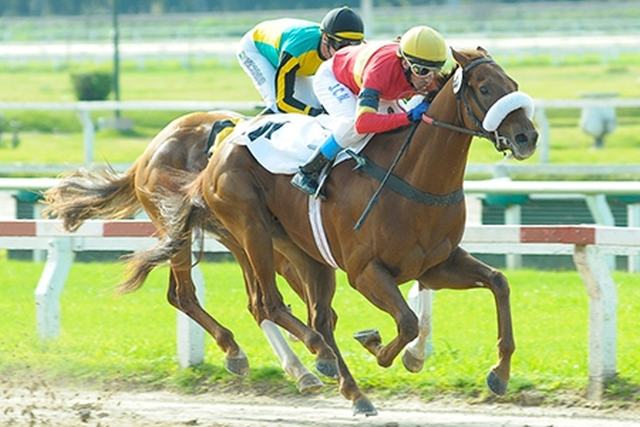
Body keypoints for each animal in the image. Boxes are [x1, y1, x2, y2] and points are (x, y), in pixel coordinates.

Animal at [138, 47, 536, 418]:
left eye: (512, 84)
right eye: (484, 88)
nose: (526, 137)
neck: (414, 176)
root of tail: (218, 151)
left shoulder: (436, 264)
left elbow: (498, 282)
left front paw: (498, 373)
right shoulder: (365, 272)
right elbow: (406, 322)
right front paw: (378, 347)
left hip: (303, 253)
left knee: (318, 316)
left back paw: (349, 388)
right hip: (250, 231)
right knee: (266, 303)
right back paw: (313, 357)